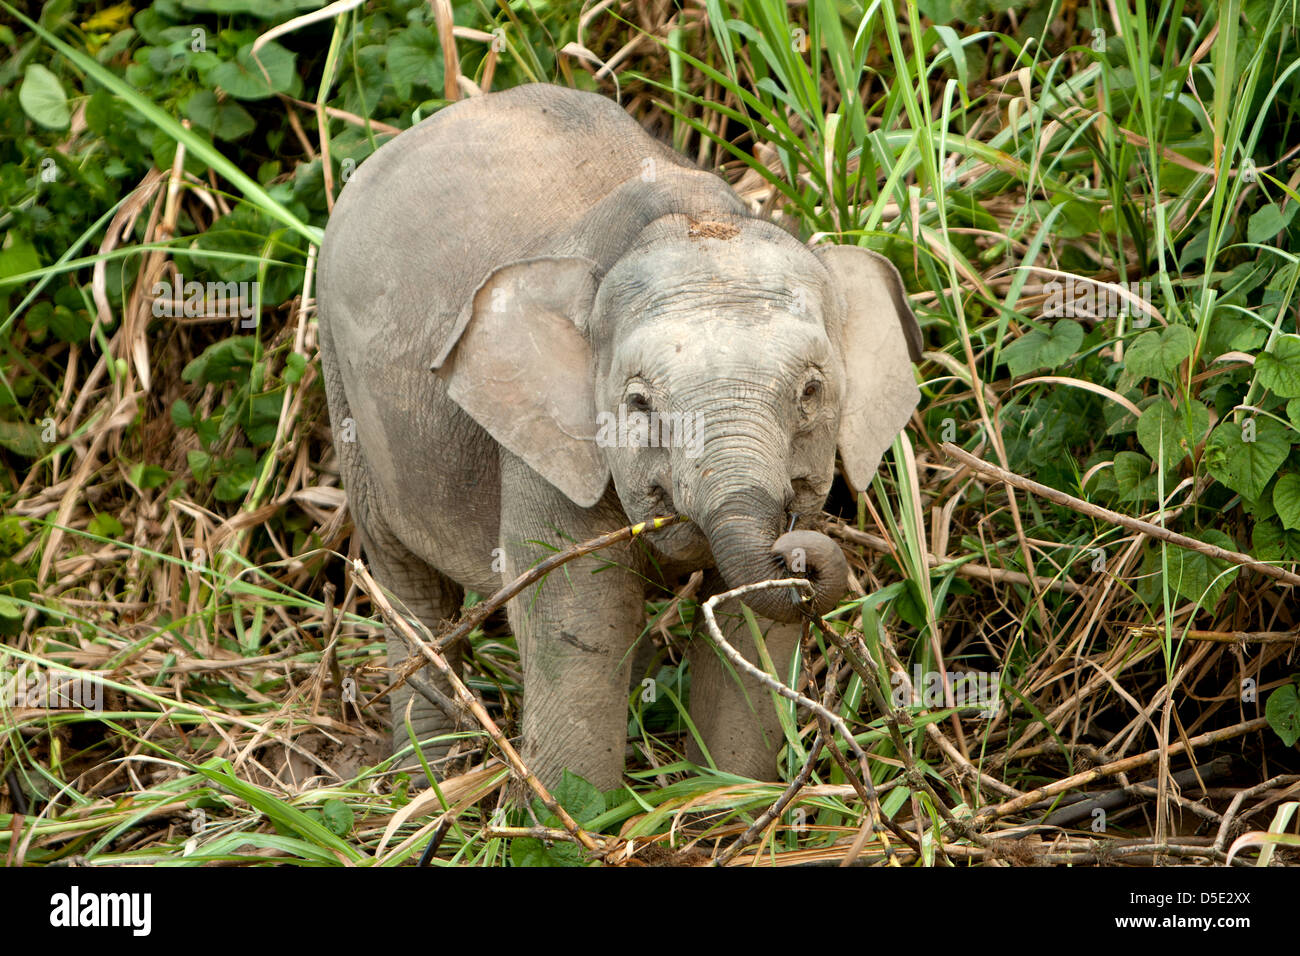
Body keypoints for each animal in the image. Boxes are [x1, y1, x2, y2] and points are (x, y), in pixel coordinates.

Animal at [317, 85, 925, 796]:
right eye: (639, 404)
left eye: (809, 392)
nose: (799, 542)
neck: (684, 212)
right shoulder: (543, 447)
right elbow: (580, 613)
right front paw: (582, 812)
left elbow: (755, 621)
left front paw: (725, 800)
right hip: (343, 384)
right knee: (407, 581)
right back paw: (427, 780)